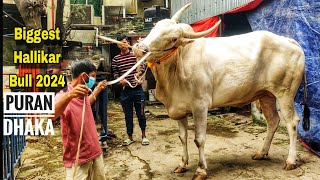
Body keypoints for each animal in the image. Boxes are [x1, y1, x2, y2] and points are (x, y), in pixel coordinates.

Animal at [134, 3, 308, 180]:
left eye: (173, 38)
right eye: (155, 26)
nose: (138, 49)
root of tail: (287, 39)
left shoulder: (200, 106)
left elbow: (199, 139)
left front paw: (201, 170)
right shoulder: (179, 108)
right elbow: (182, 137)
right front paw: (182, 164)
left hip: (285, 93)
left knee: (292, 122)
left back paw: (290, 161)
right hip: (266, 95)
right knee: (273, 120)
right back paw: (261, 152)